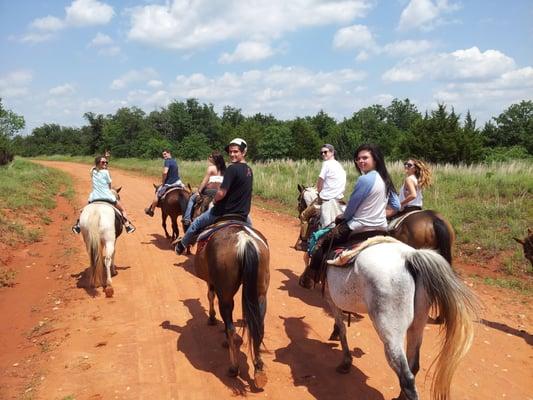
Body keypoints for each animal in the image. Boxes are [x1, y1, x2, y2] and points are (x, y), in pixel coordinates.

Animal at [193, 225, 270, 388]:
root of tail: (244, 240)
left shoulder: (212, 282)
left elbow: (210, 296)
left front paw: (212, 318)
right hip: (260, 294)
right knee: (258, 327)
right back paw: (259, 369)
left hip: (225, 295)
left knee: (230, 328)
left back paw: (234, 368)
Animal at [300, 239, 478, 398]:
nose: (304, 282)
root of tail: (409, 256)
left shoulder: (332, 300)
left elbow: (342, 328)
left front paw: (345, 361)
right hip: (417, 325)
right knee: (413, 366)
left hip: (390, 332)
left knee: (406, 377)